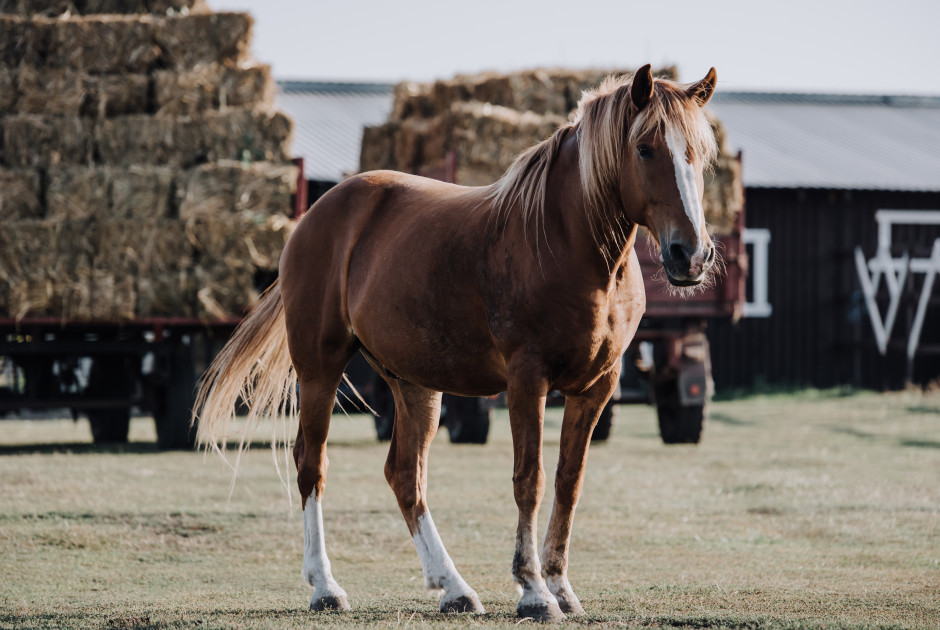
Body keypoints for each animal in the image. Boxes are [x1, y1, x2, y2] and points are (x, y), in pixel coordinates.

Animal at [193, 64, 720, 624]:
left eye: (699, 152)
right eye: (645, 148)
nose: (691, 255)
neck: (565, 242)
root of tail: (316, 215)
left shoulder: (597, 387)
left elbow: (568, 482)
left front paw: (561, 587)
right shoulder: (527, 380)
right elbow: (529, 480)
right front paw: (533, 591)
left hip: (413, 384)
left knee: (405, 475)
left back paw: (454, 588)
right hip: (320, 369)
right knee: (311, 465)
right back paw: (326, 587)